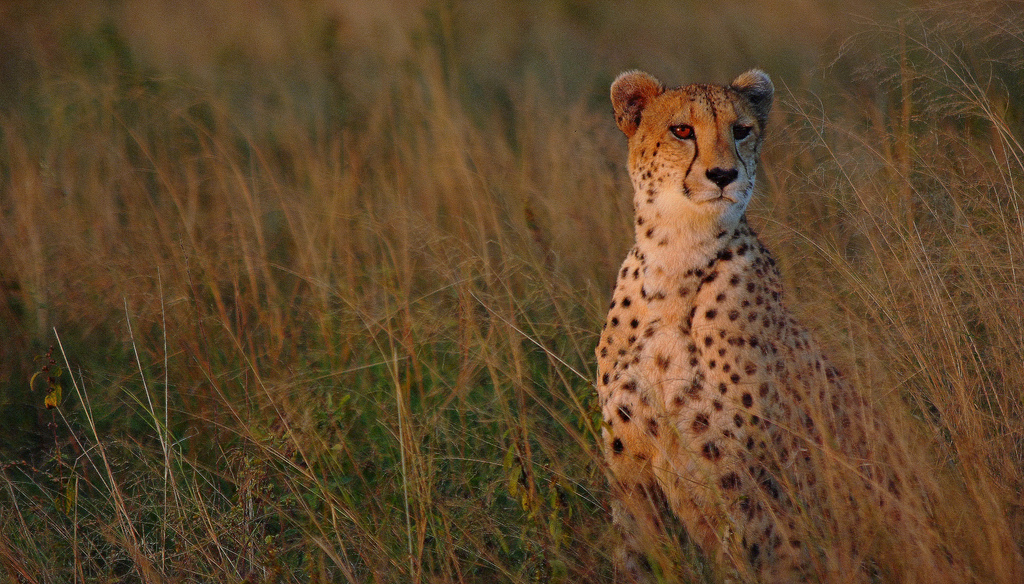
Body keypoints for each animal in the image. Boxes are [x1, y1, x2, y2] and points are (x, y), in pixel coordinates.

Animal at [595, 69, 966, 583]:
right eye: (682, 131)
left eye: (741, 130)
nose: (724, 175)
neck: (677, 255)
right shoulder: (630, 469)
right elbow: (634, 556)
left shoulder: (741, 479)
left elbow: (746, 554)